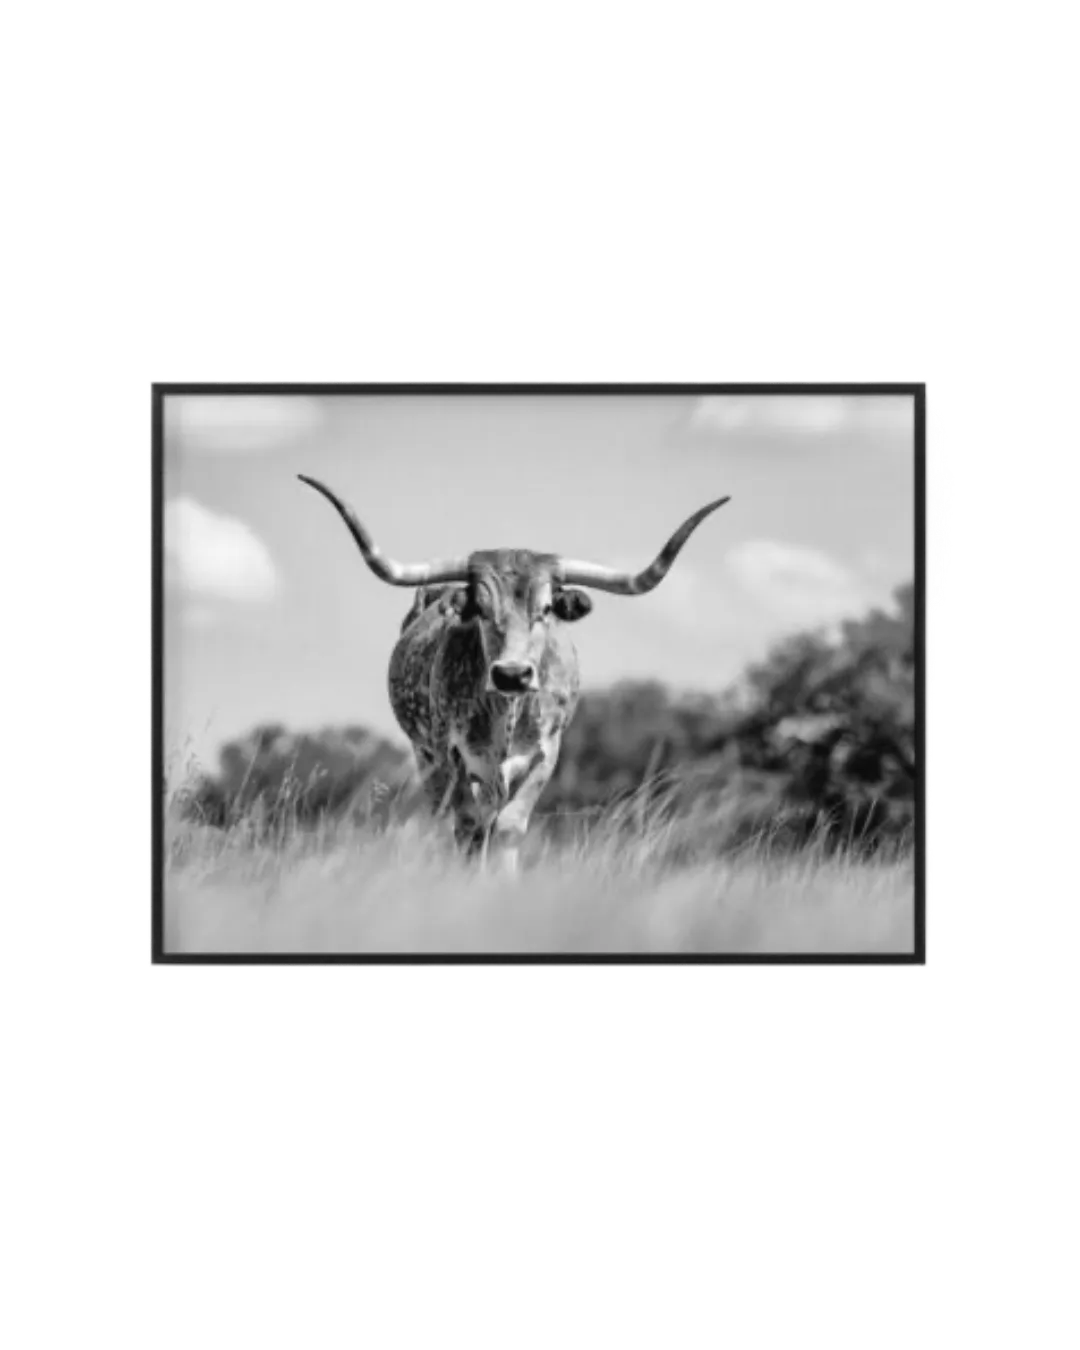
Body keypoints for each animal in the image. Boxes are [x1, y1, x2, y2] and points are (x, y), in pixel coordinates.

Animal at [298, 474, 730, 873]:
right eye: (482, 609)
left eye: (546, 609)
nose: (511, 674)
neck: (507, 713)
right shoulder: (452, 756)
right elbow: (468, 829)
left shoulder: (544, 757)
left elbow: (507, 829)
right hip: (428, 760)